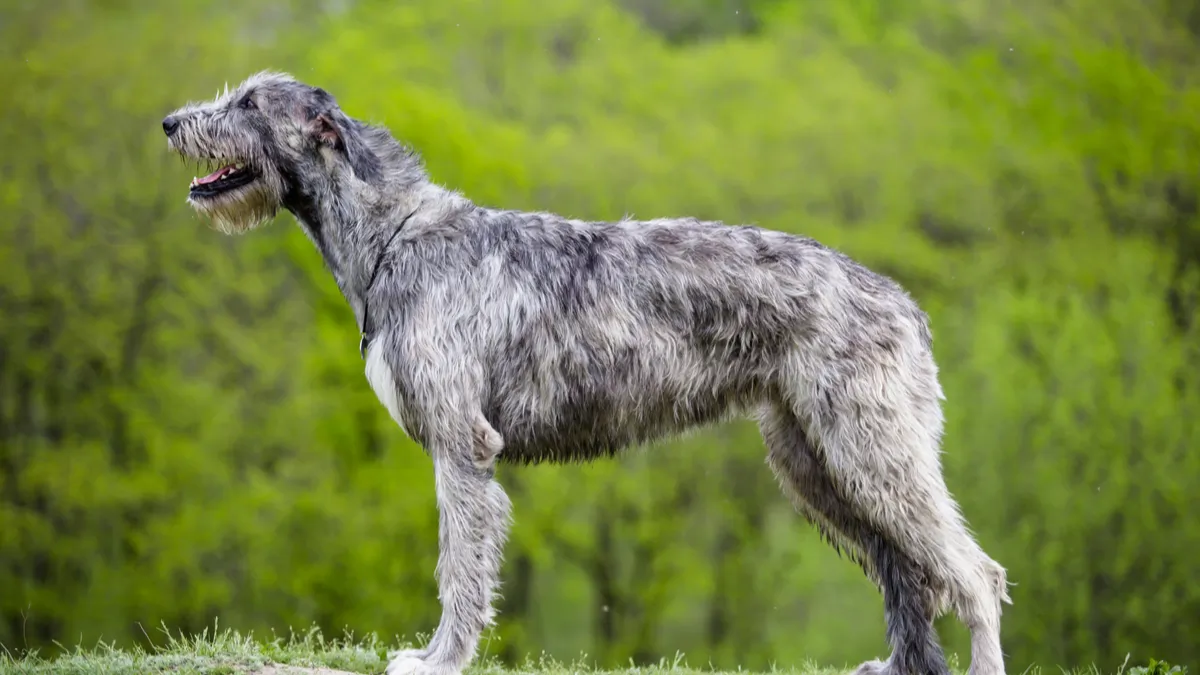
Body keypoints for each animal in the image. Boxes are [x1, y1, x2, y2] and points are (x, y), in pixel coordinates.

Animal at [164, 73, 1008, 672]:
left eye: (247, 101)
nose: (170, 122)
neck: (395, 235)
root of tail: (903, 301)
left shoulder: (462, 444)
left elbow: (458, 564)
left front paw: (440, 659)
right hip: (815, 460)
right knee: (907, 568)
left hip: (871, 447)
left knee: (976, 573)